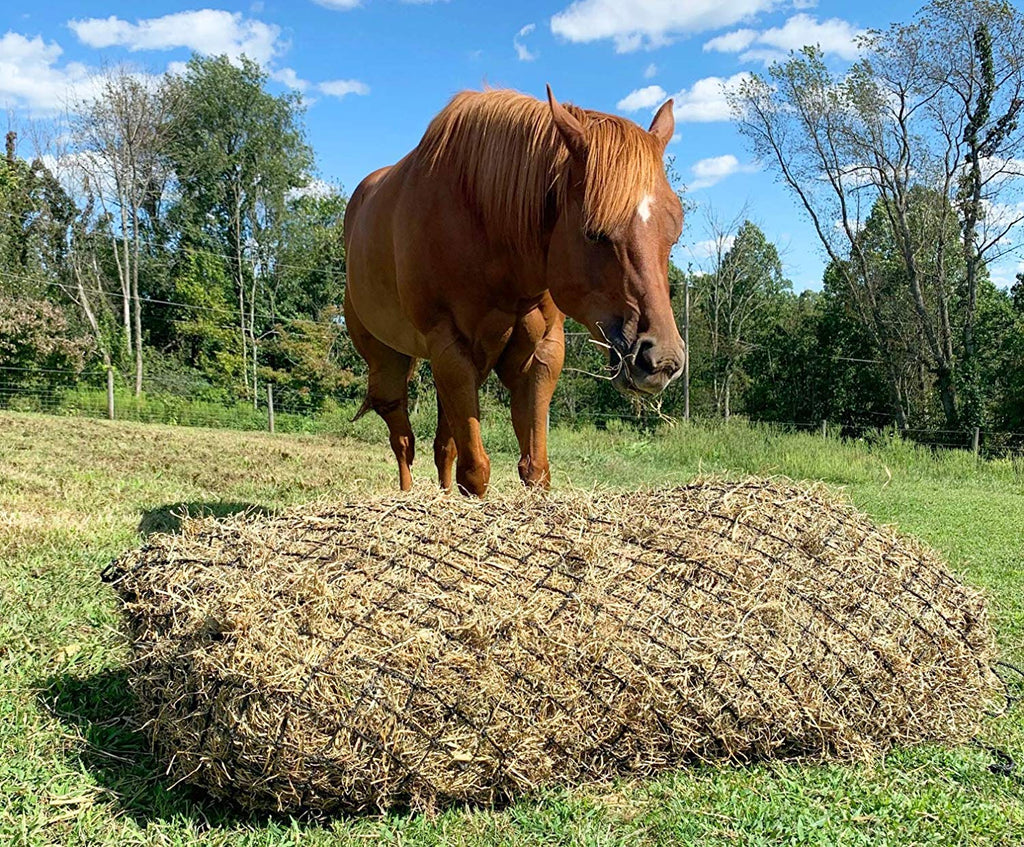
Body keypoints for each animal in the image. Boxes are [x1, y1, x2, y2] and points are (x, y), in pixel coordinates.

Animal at [344, 86, 686, 496]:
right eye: (594, 232)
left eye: (674, 232)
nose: (661, 359)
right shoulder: (450, 349)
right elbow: (475, 472)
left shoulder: (539, 354)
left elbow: (534, 469)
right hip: (389, 362)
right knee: (402, 439)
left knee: (443, 446)